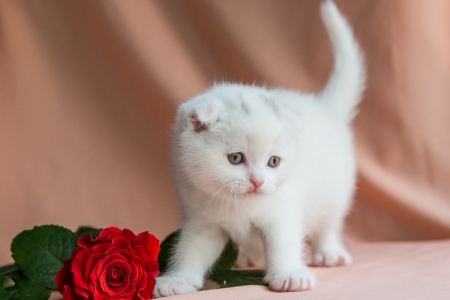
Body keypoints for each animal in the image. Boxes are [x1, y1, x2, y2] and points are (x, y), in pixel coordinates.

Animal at [153, 1, 364, 296]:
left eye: (274, 161)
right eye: (235, 158)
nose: (258, 181)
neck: (240, 206)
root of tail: (325, 107)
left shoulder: (283, 209)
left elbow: (283, 242)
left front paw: (288, 274)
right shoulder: (202, 220)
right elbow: (191, 249)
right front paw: (178, 279)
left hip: (334, 189)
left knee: (329, 222)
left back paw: (329, 252)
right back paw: (247, 257)